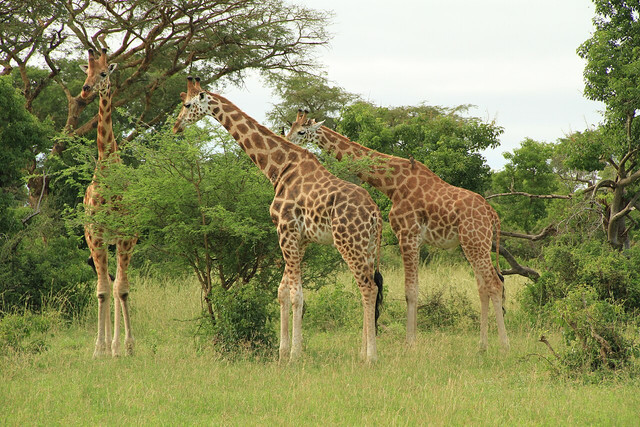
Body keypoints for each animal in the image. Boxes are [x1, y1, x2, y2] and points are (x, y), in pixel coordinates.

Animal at [173, 77, 384, 362]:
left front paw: (295, 354)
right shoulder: (299, 238)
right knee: (370, 288)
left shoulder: (286, 230)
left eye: (187, 104)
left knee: (368, 288)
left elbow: (296, 295)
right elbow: (282, 292)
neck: (279, 167)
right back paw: (362, 352)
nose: (176, 126)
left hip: (348, 243)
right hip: (369, 247)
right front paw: (282, 353)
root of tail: (375, 215)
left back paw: (370, 357)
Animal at [287, 111, 509, 352]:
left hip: (475, 242)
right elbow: (412, 289)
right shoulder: (413, 239)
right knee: (483, 287)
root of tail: (492, 214)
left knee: (495, 283)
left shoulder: (407, 235)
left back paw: (504, 346)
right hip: (473, 244)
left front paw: (410, 343)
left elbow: (410, 291)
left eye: (301, 131)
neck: (392, 184)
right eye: (290, 128)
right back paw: (482, 346)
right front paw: (411, 340)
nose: (288, 142)